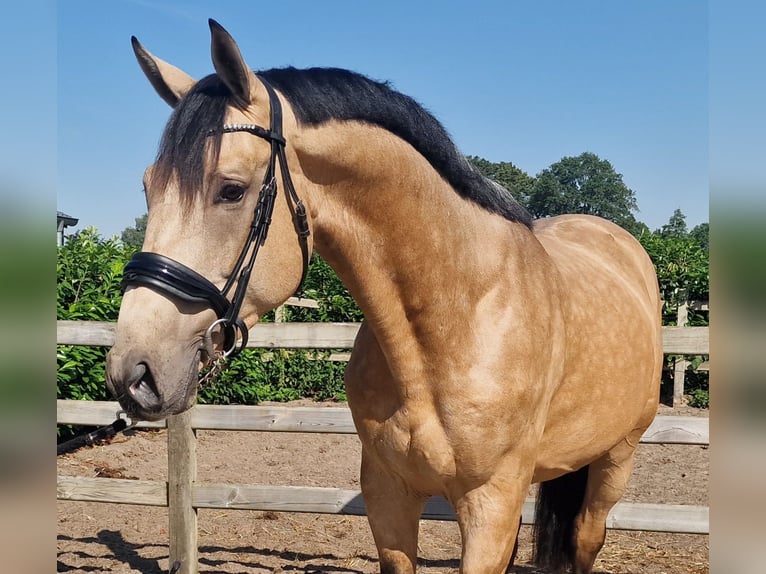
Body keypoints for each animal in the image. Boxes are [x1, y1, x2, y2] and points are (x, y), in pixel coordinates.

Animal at [106, 19, 662, 574]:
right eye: (148, 188)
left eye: (231, 190)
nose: (132, 372)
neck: (455, 320)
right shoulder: (388, 496)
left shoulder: (492, 505)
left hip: (616, 458)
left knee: (588, 536)